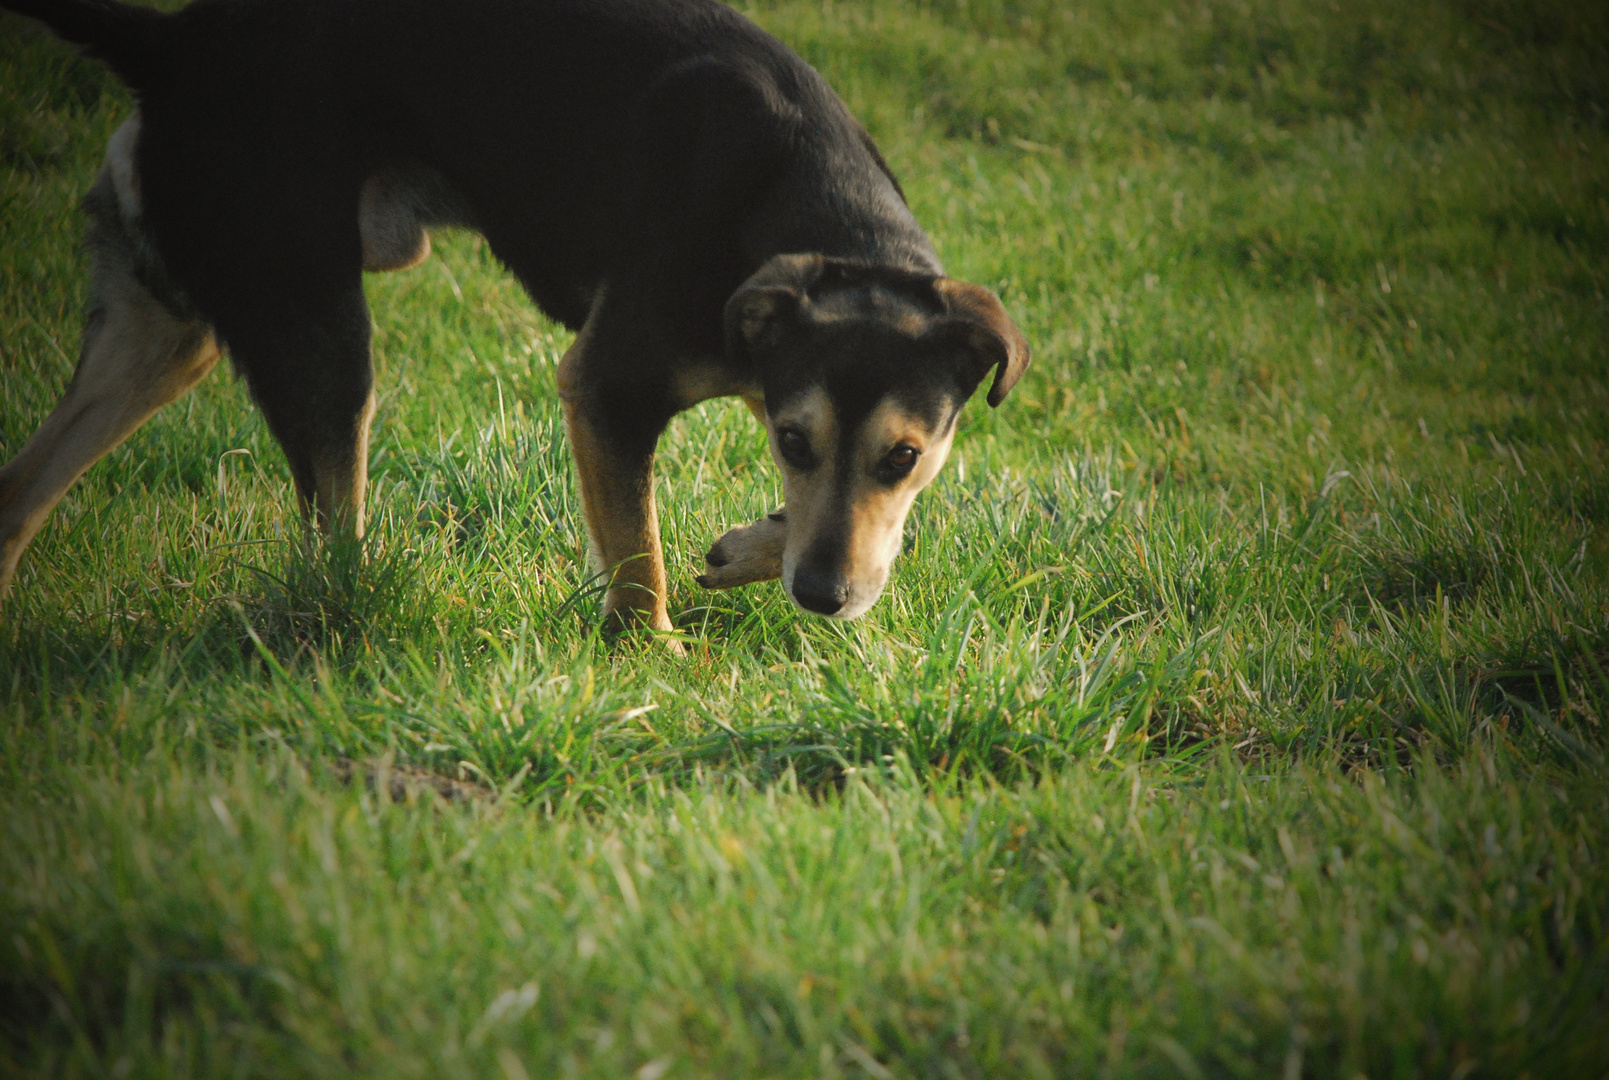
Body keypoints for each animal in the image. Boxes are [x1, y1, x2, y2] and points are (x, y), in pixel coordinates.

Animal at [0, 0, 1029, 637]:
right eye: (792, 439)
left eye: (903, 456)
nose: (820, 598)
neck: (818, 214)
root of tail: (174, 42)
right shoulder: (608, 387)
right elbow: (637, 552)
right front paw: (652, 652)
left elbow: (827, 528)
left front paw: (747, 548)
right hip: (313, 324)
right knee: (332, 543)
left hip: (165, 332)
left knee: (20, 491)